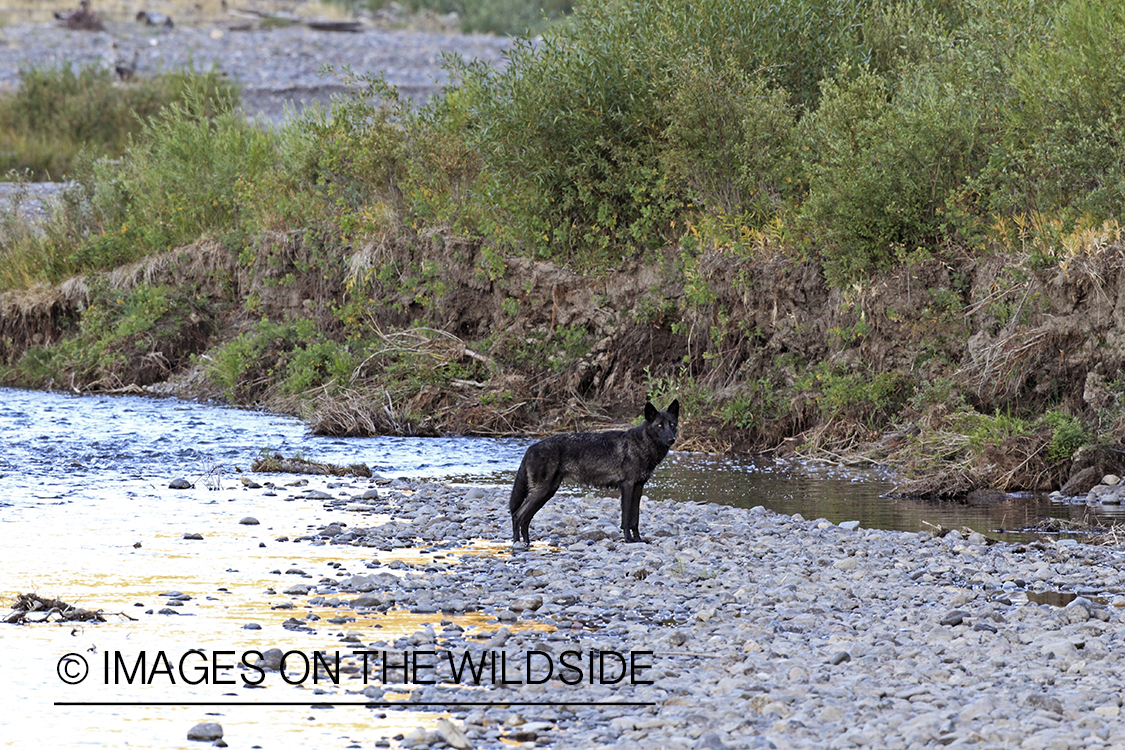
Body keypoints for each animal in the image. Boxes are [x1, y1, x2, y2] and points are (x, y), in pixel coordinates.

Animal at [509, 399, 680, 545]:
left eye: (672, 424)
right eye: (659, 426)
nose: (672, 439)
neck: (640, 445)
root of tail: (531, 448)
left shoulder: (638, 488)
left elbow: (635, 519)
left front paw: (638, 539)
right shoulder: (627, 487)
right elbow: (626, 518)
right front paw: (628, 540)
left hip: (547, 493)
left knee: (525, 518)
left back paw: (526, 543)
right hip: (541, 492)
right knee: (517, 515)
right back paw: (517, 544)